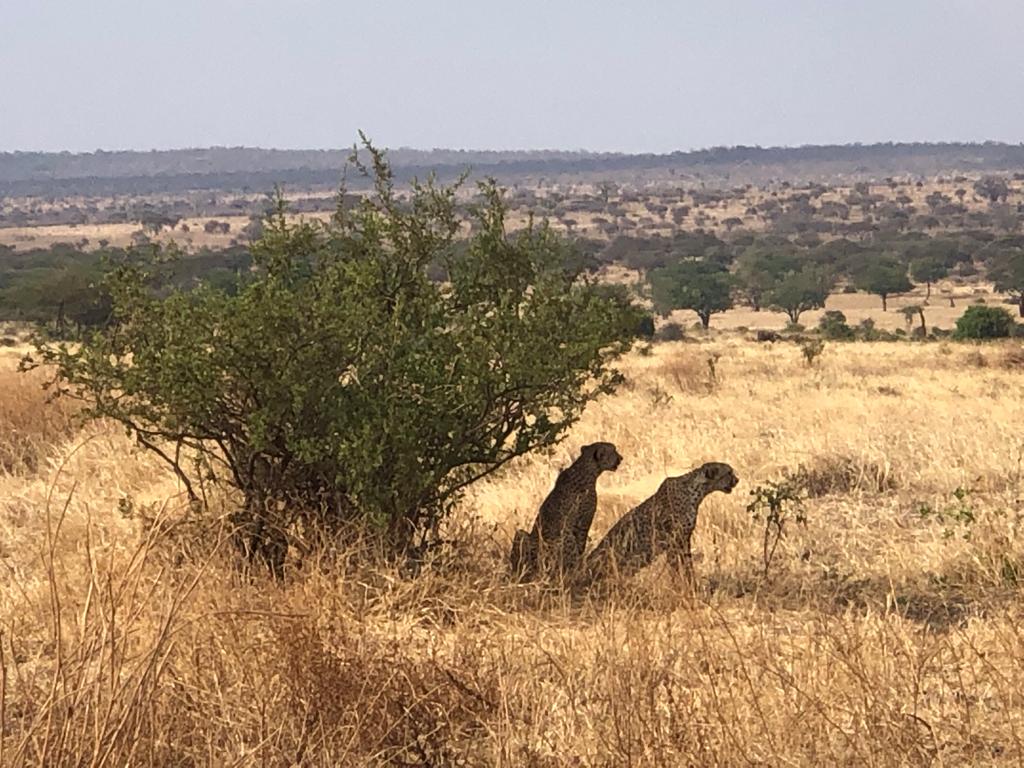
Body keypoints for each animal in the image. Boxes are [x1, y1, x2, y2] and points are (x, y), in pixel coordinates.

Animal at [509, 444, 622, 581]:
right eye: (614, 451)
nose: (621, 458)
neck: (586, 467)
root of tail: (536, 565)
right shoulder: (583, 523)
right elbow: (581, 545)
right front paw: (582, 562)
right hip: (565, 536)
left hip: (521, 534)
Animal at [577, 462, 737, 589]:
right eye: (728, 473)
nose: (737, 480)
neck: (697, 490)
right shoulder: (674, 542)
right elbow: (678, 569)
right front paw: (682, 588)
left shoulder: (683, 540)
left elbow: (687, 567)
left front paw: (690, 586)